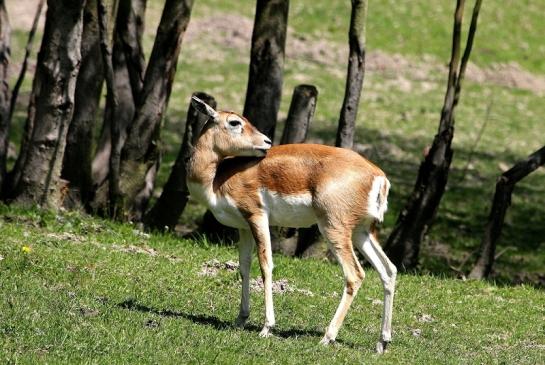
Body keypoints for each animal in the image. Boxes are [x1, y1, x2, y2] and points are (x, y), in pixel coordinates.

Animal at [187, 96, 396, 352]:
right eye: (235, 122)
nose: (266, 141)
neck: (216, 179)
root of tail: (379, 176)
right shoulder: (243, 227)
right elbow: (244, 266)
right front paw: (240, 319)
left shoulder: (257, 216)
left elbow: (266, 265)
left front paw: (267, 327)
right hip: (362, 232)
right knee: (388, 270)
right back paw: (382, 342)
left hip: (333, 228)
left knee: (355, 275)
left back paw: (327, 337)